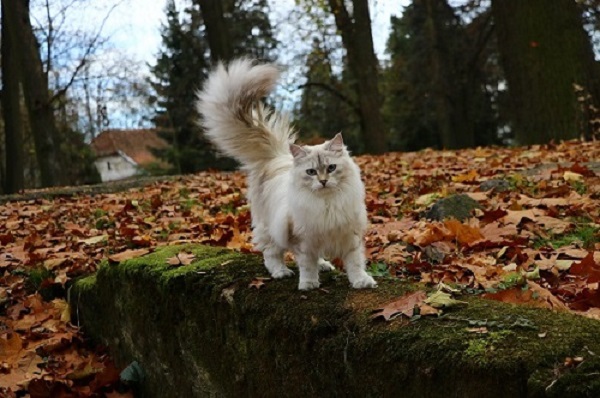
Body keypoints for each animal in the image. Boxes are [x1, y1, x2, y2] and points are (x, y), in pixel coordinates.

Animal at [197, 58, 376, 290]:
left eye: (331, 168)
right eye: (311, 172)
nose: (323, 181)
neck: (327, 204)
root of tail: (276, 157)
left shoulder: (349, 236)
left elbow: (354, 264)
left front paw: (361, 281)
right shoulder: (302, 239)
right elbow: (306, 264)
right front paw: (308, 284)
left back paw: (324, 265)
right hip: (269, 230)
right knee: (271, 255)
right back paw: (281, 272)